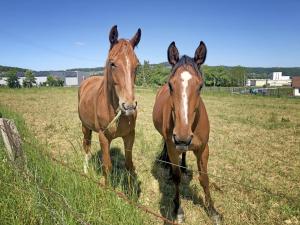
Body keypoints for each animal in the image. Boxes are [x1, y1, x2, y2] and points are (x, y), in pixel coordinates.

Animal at [78, 25, 142, 183]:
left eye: (137, 65)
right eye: (112, 63)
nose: (129, 106)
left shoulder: (130, 135)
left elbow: (129, 165)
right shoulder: (103, 136)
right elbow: (107, 167)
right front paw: (107, 188)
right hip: (85, 127)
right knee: (86, 146)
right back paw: (85, 170)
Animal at [154, 41, 221, 223]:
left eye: (200, 85)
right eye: (171, 85)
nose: (182, 138)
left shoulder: (203, 149)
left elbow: (204, 178)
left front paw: (212, 210)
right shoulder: (172, 147)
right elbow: (176, 177)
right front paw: (178, 209)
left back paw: (184, 166)